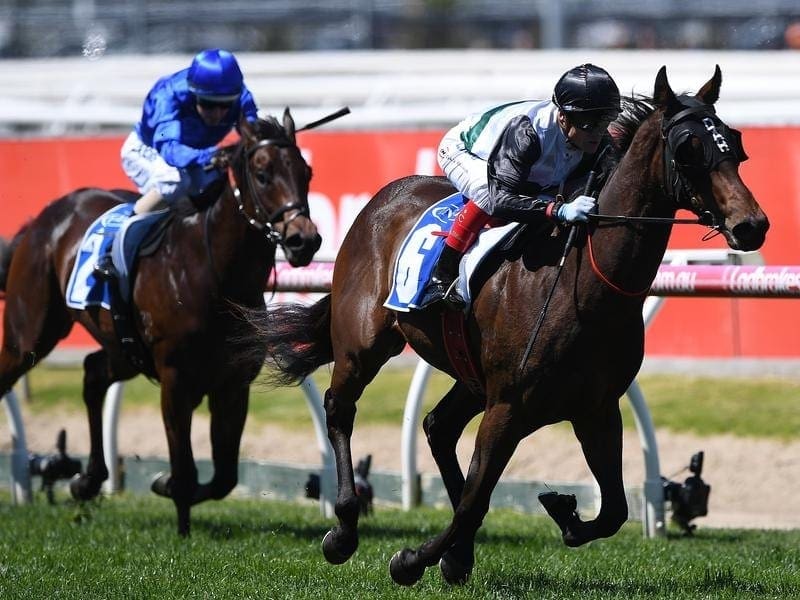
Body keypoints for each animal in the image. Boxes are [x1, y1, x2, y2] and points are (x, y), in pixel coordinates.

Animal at [3, 110, 322, 536]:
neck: (212, 273)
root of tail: (45, 217)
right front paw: (181, 521)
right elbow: (185, 468)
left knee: (93, 374)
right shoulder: (175, 379)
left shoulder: (233, 384)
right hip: (29, 335)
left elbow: (224, 477)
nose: (304, 240)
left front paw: (163, 485)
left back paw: (87, 480)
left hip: (123, 348)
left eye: (306, 171)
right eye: (263, 173)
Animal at [253, 67, 764, 584]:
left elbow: (614, 511)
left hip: (471, 375)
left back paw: (457, 553)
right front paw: (411, 560)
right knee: (341, 408)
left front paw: (561, 513)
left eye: (736, 146)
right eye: (688, 148)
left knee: (438, 426)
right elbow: (473, 503)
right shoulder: (509, 408)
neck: (584, 282)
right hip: (365, 342)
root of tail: (383, 199)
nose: (752, 225)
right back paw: (343, 530)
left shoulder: (595, 408)